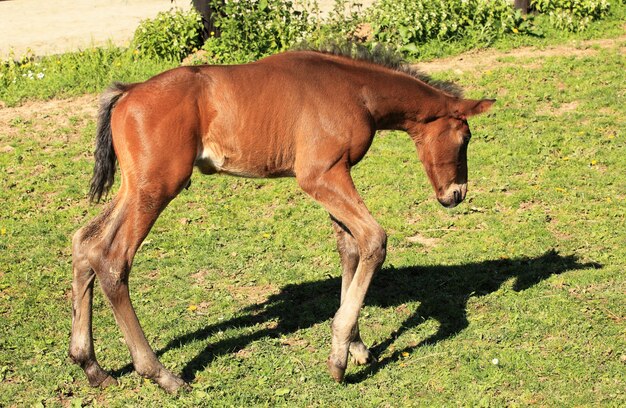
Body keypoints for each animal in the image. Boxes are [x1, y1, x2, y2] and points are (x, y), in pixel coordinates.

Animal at [69, 51, 492, 392]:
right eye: (465, 137)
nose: (456, 195)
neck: (356, 90)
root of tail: (127, 92)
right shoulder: (320, 176)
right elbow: (374, 240)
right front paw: (339, 355)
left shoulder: (332, 175)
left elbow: (349, 249)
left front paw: (355, 345)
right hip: (155, 188)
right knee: (112, 259)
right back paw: (161, 374)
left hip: (134, 187)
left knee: (85, 242)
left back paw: (91, 365)